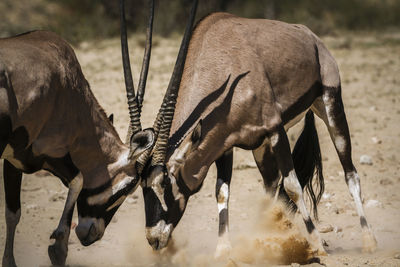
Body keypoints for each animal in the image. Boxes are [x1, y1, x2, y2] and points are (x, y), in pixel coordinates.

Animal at [0, 0, 155, 266]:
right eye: (128, 187)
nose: (92, 235)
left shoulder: (14, 160)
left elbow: (13, 213)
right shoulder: (47, 150)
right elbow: (79, 178)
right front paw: (58, 248)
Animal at [138, 7, 378, 258]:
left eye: (165, 183)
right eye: (140, 187)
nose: (154, 239)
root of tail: (311, 37)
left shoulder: (275, 129)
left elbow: (292, 186)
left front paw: (317, 244)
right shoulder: (223, 144)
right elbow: (222, 191)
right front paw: (223, 250)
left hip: (330, 105)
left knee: (350, 173)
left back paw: (368, 240)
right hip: (261, 147)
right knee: (270, 184)